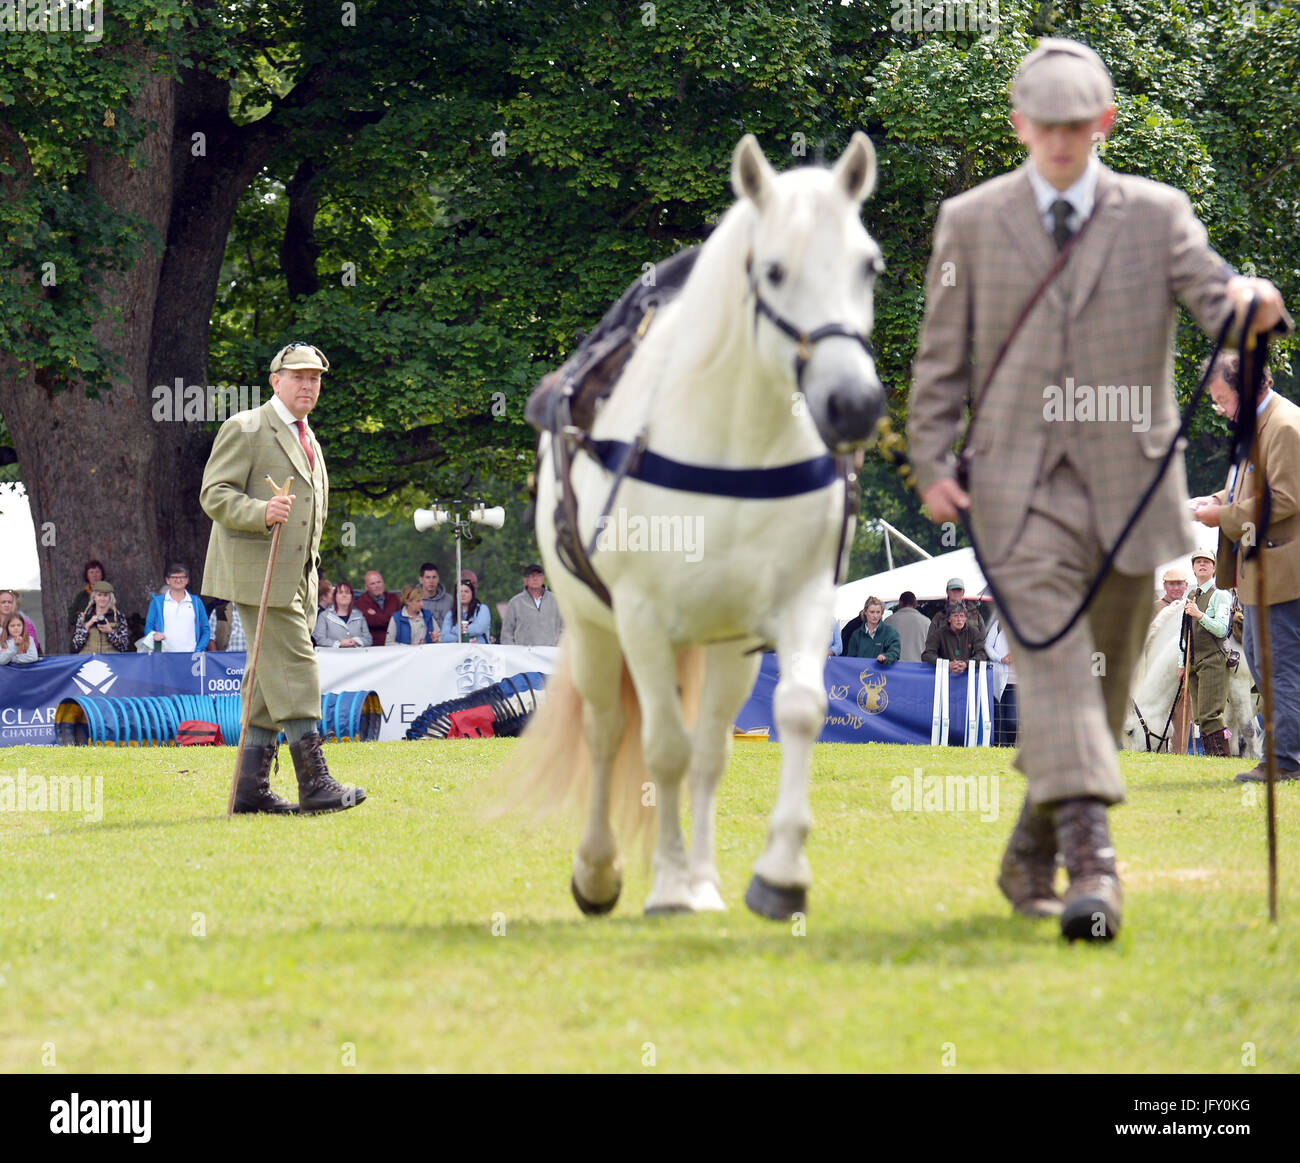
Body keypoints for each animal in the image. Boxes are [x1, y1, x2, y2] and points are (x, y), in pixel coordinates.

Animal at [514, 133, 883, 920]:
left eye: (868, 264)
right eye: (773, 270)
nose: (854, 405)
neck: (736, 447)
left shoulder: (797, 605)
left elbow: (795, 714)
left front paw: (777, 873)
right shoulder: (642, 621)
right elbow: (662, 750)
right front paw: (666, 884)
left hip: (724, 646)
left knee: (711, 747)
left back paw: (703, 878)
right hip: (595, 629)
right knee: (608, 731)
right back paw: (603, 871)